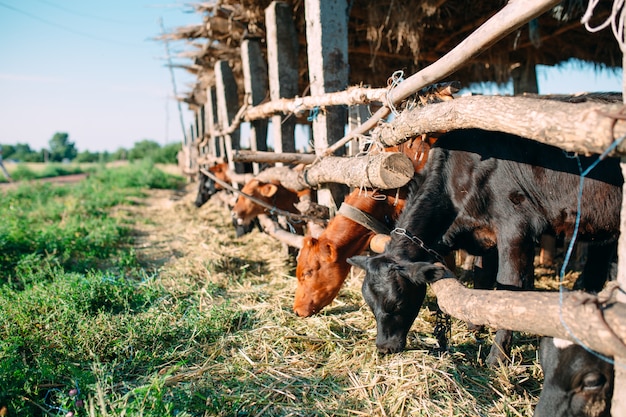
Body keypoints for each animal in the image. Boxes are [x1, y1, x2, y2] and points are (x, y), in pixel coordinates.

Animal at [346, 128, 620, 366]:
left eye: (397, 303)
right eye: (369, 303)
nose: (384, 347)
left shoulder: (515, 226)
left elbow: (508, 286)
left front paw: (497, 357)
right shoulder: (485, 236)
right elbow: (482, 279)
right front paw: (475, 327)